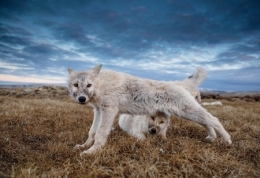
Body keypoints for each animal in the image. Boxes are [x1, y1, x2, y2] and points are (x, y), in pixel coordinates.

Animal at [67, 64, 232, 155]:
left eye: (88, 85)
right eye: (76, 85)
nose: (81, 99)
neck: (101, 84)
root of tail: (176, 83)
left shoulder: (109, 111)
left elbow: (100, 134)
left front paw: (91, 152)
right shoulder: (98, 111)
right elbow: (92, 132)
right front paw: (84, 146)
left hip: (188, 112)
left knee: (213, 119)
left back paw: (227, 140)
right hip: (189, 113)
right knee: (206, 122)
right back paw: (211, 137)